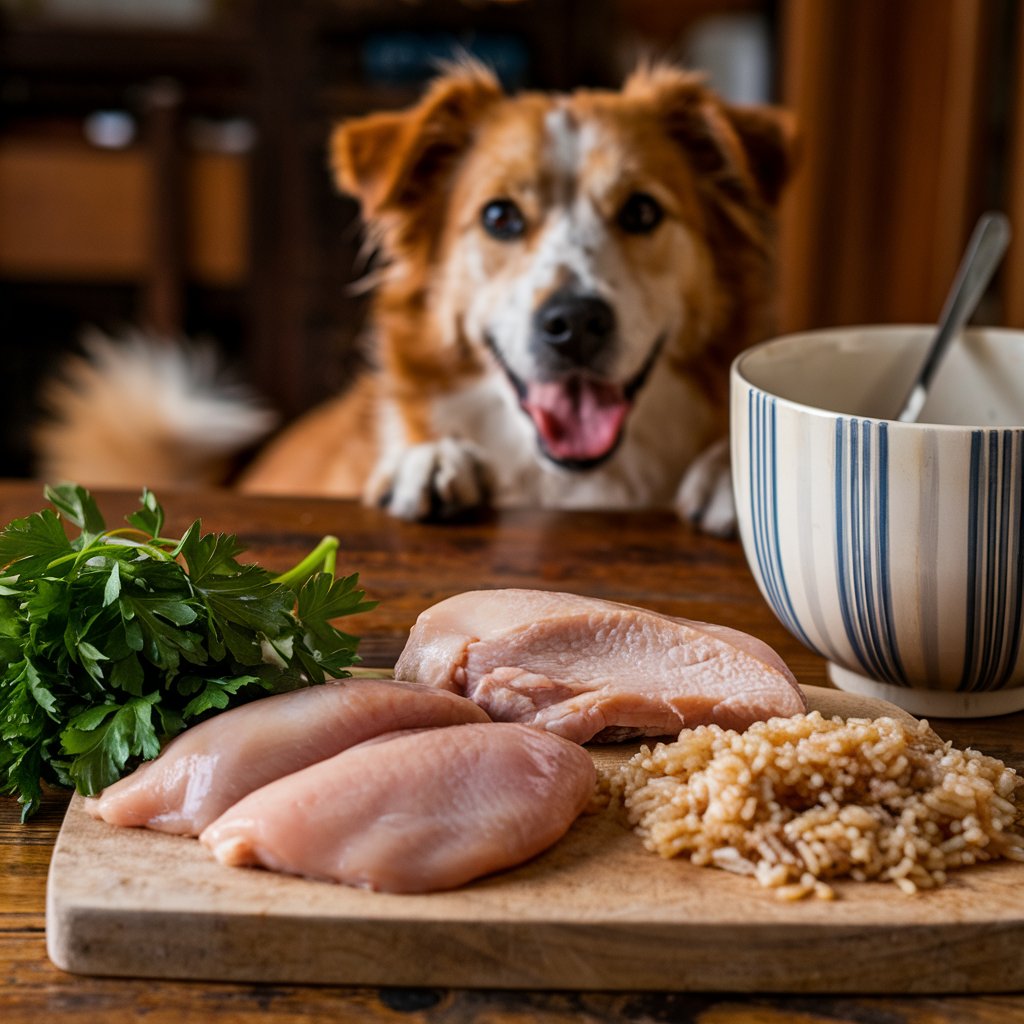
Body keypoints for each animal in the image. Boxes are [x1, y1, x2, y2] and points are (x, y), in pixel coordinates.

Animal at [32, 60, 794, 536]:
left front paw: (731, 474)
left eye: (641, 212)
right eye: (499, 217)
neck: (570, 483)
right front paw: (433, 459)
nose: (574, 322)